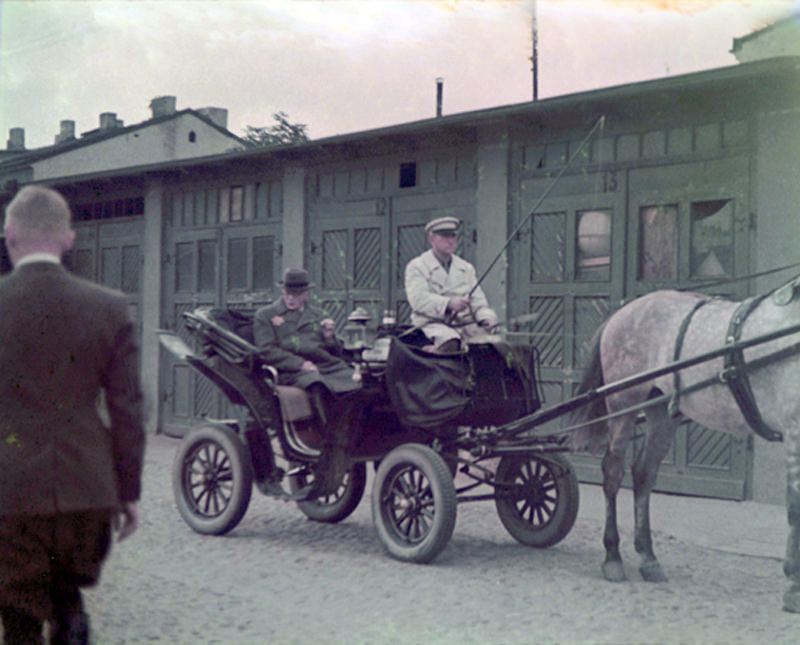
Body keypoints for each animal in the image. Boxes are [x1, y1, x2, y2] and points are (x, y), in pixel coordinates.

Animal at [568, 284, 800, 612]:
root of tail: (621, 312)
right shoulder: (794, 427)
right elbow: (795, 508)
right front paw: (793, 585)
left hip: (661, 412)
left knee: (643, 475)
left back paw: (648, 558)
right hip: (623, 404)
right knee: (612, 473)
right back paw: (613, 556)